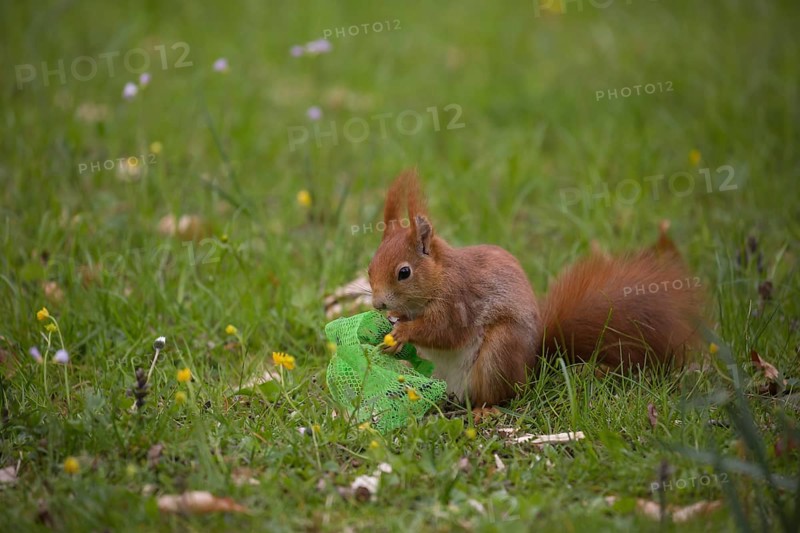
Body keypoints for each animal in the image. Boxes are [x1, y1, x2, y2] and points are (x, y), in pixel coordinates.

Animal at [367, 169, 704, 406]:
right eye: (370, 268)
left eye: (404, 272)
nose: (378, 305)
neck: (439, 276)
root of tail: (533, 367)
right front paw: (395, 323)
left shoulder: (458, 300)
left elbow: (444, 331)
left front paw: (404, 331)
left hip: (499, 353)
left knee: (500, 397)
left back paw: (483, 411)